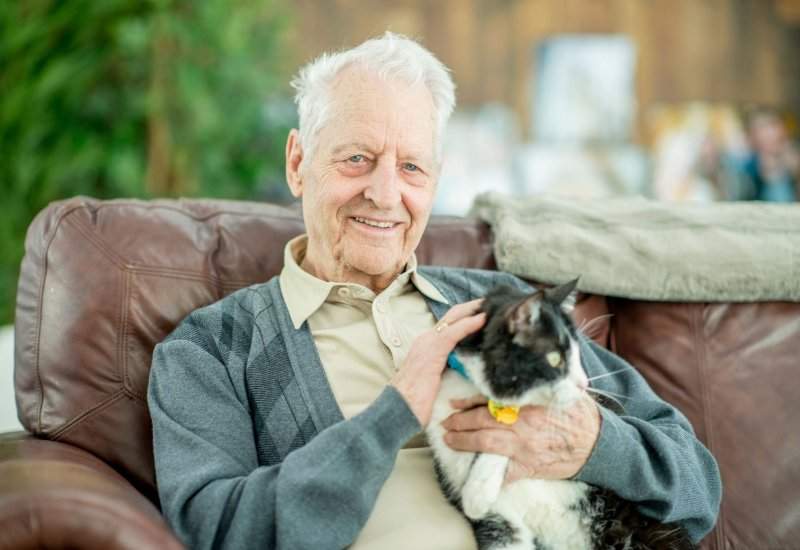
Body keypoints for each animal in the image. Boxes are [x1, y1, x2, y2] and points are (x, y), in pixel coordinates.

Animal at [424, 284, 692, 550]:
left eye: (578, 357)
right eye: (556, 359)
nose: (584, 384)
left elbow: (509, 432)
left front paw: (478, 491)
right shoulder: (501, 521)